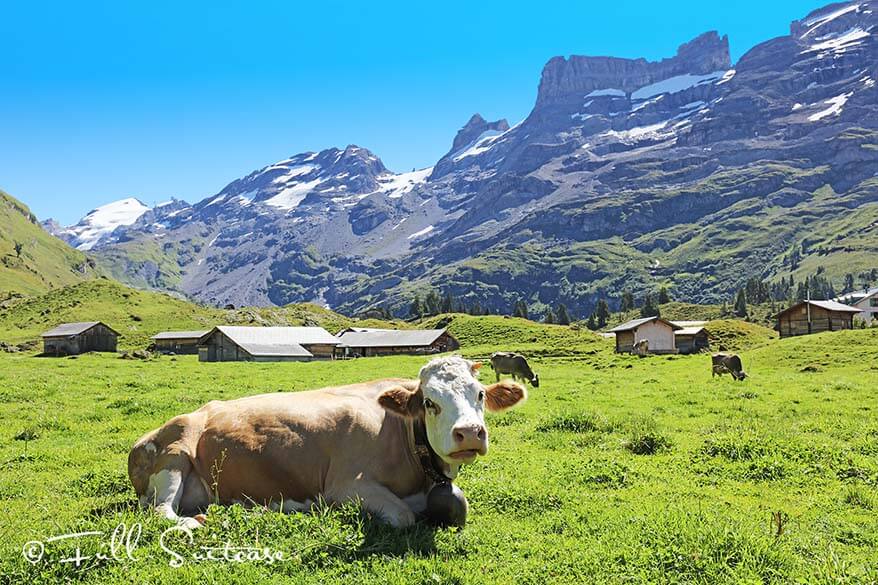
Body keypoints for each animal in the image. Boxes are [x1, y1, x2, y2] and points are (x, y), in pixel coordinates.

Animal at [127, 356, 524, 528]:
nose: (469, 433)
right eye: (429, 402)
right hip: (174, 458)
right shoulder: (346, 485)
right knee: (161, 512)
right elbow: (404, 516)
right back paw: (193, 523)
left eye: (480, 394)